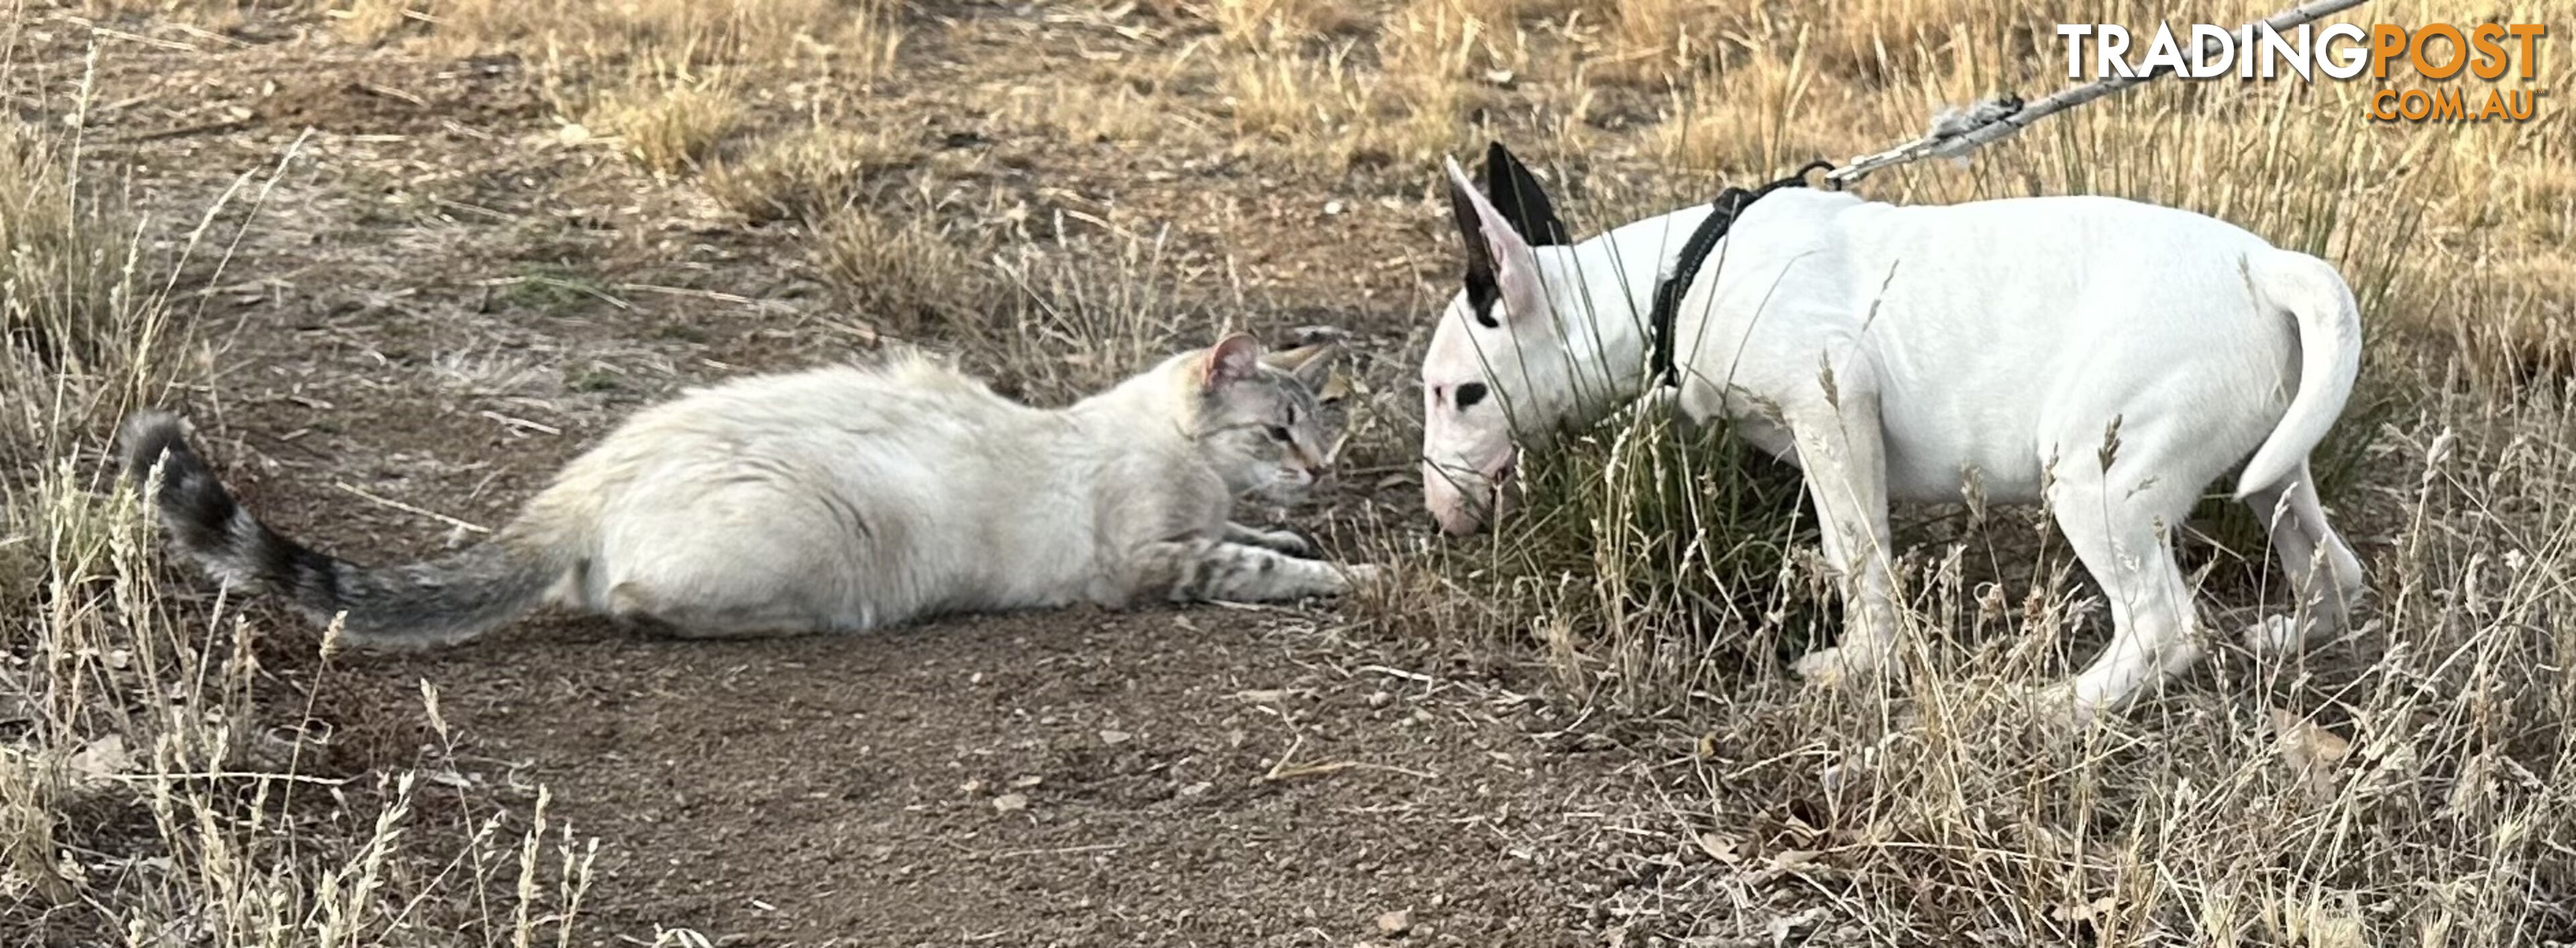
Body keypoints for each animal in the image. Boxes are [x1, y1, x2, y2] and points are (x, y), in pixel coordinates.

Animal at [125, 329, 1370, 649]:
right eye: (1276, 430)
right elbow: (1257, 564)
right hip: (817, 536)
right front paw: (1349, 574)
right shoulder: (1154, 560)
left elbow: (1268, 542)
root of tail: (585, 476)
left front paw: (1317, 541)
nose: (1318, 471)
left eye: (1327, 430)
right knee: (631, 603)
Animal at [1421, 142, 2359, 716]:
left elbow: (1855, 552)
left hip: (2099, 480)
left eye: (1461, 394)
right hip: (2272, 469)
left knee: (2164, 627)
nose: (1441, 514)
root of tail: (2268, 267)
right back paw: (2291, 635)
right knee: (2333, 566)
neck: (1673, 281)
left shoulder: (1833, 409)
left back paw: (2058, 711)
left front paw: (1858, 664)